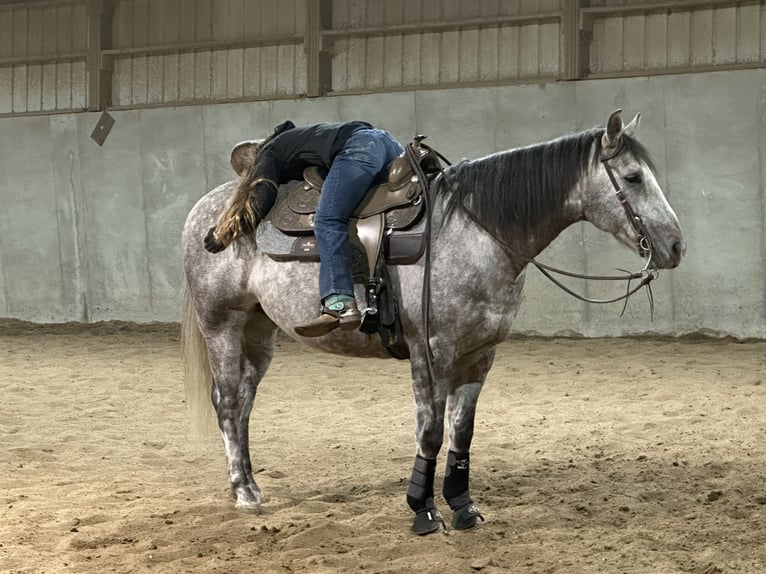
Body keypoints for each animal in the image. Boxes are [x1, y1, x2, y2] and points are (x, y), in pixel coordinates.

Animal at [181, 110, 685, 535]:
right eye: (634, 177)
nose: (677, 246)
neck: (476, 231)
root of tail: (205, 211)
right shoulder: (431, 351)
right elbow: (431, 431)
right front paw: (422, 511)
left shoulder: (479, 355)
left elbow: (462, 432)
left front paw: (463, 506)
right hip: (222, 325)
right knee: (229, 402)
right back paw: (244, 493)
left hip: (259, 332)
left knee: (243, 403)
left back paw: (249, 482)